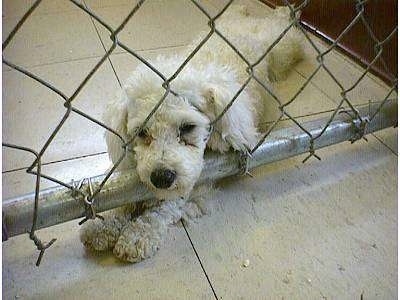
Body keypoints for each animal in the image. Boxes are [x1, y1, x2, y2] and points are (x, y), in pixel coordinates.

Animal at [80, 4, 304, 262]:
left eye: (188, 127)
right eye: (142, 132)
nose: (162, 177)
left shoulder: (204, 171)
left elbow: (167, 205)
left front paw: (139, 234)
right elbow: (119, 199)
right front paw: (105, 223)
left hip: (283, 48)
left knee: (287, 29)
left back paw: (287, 12)